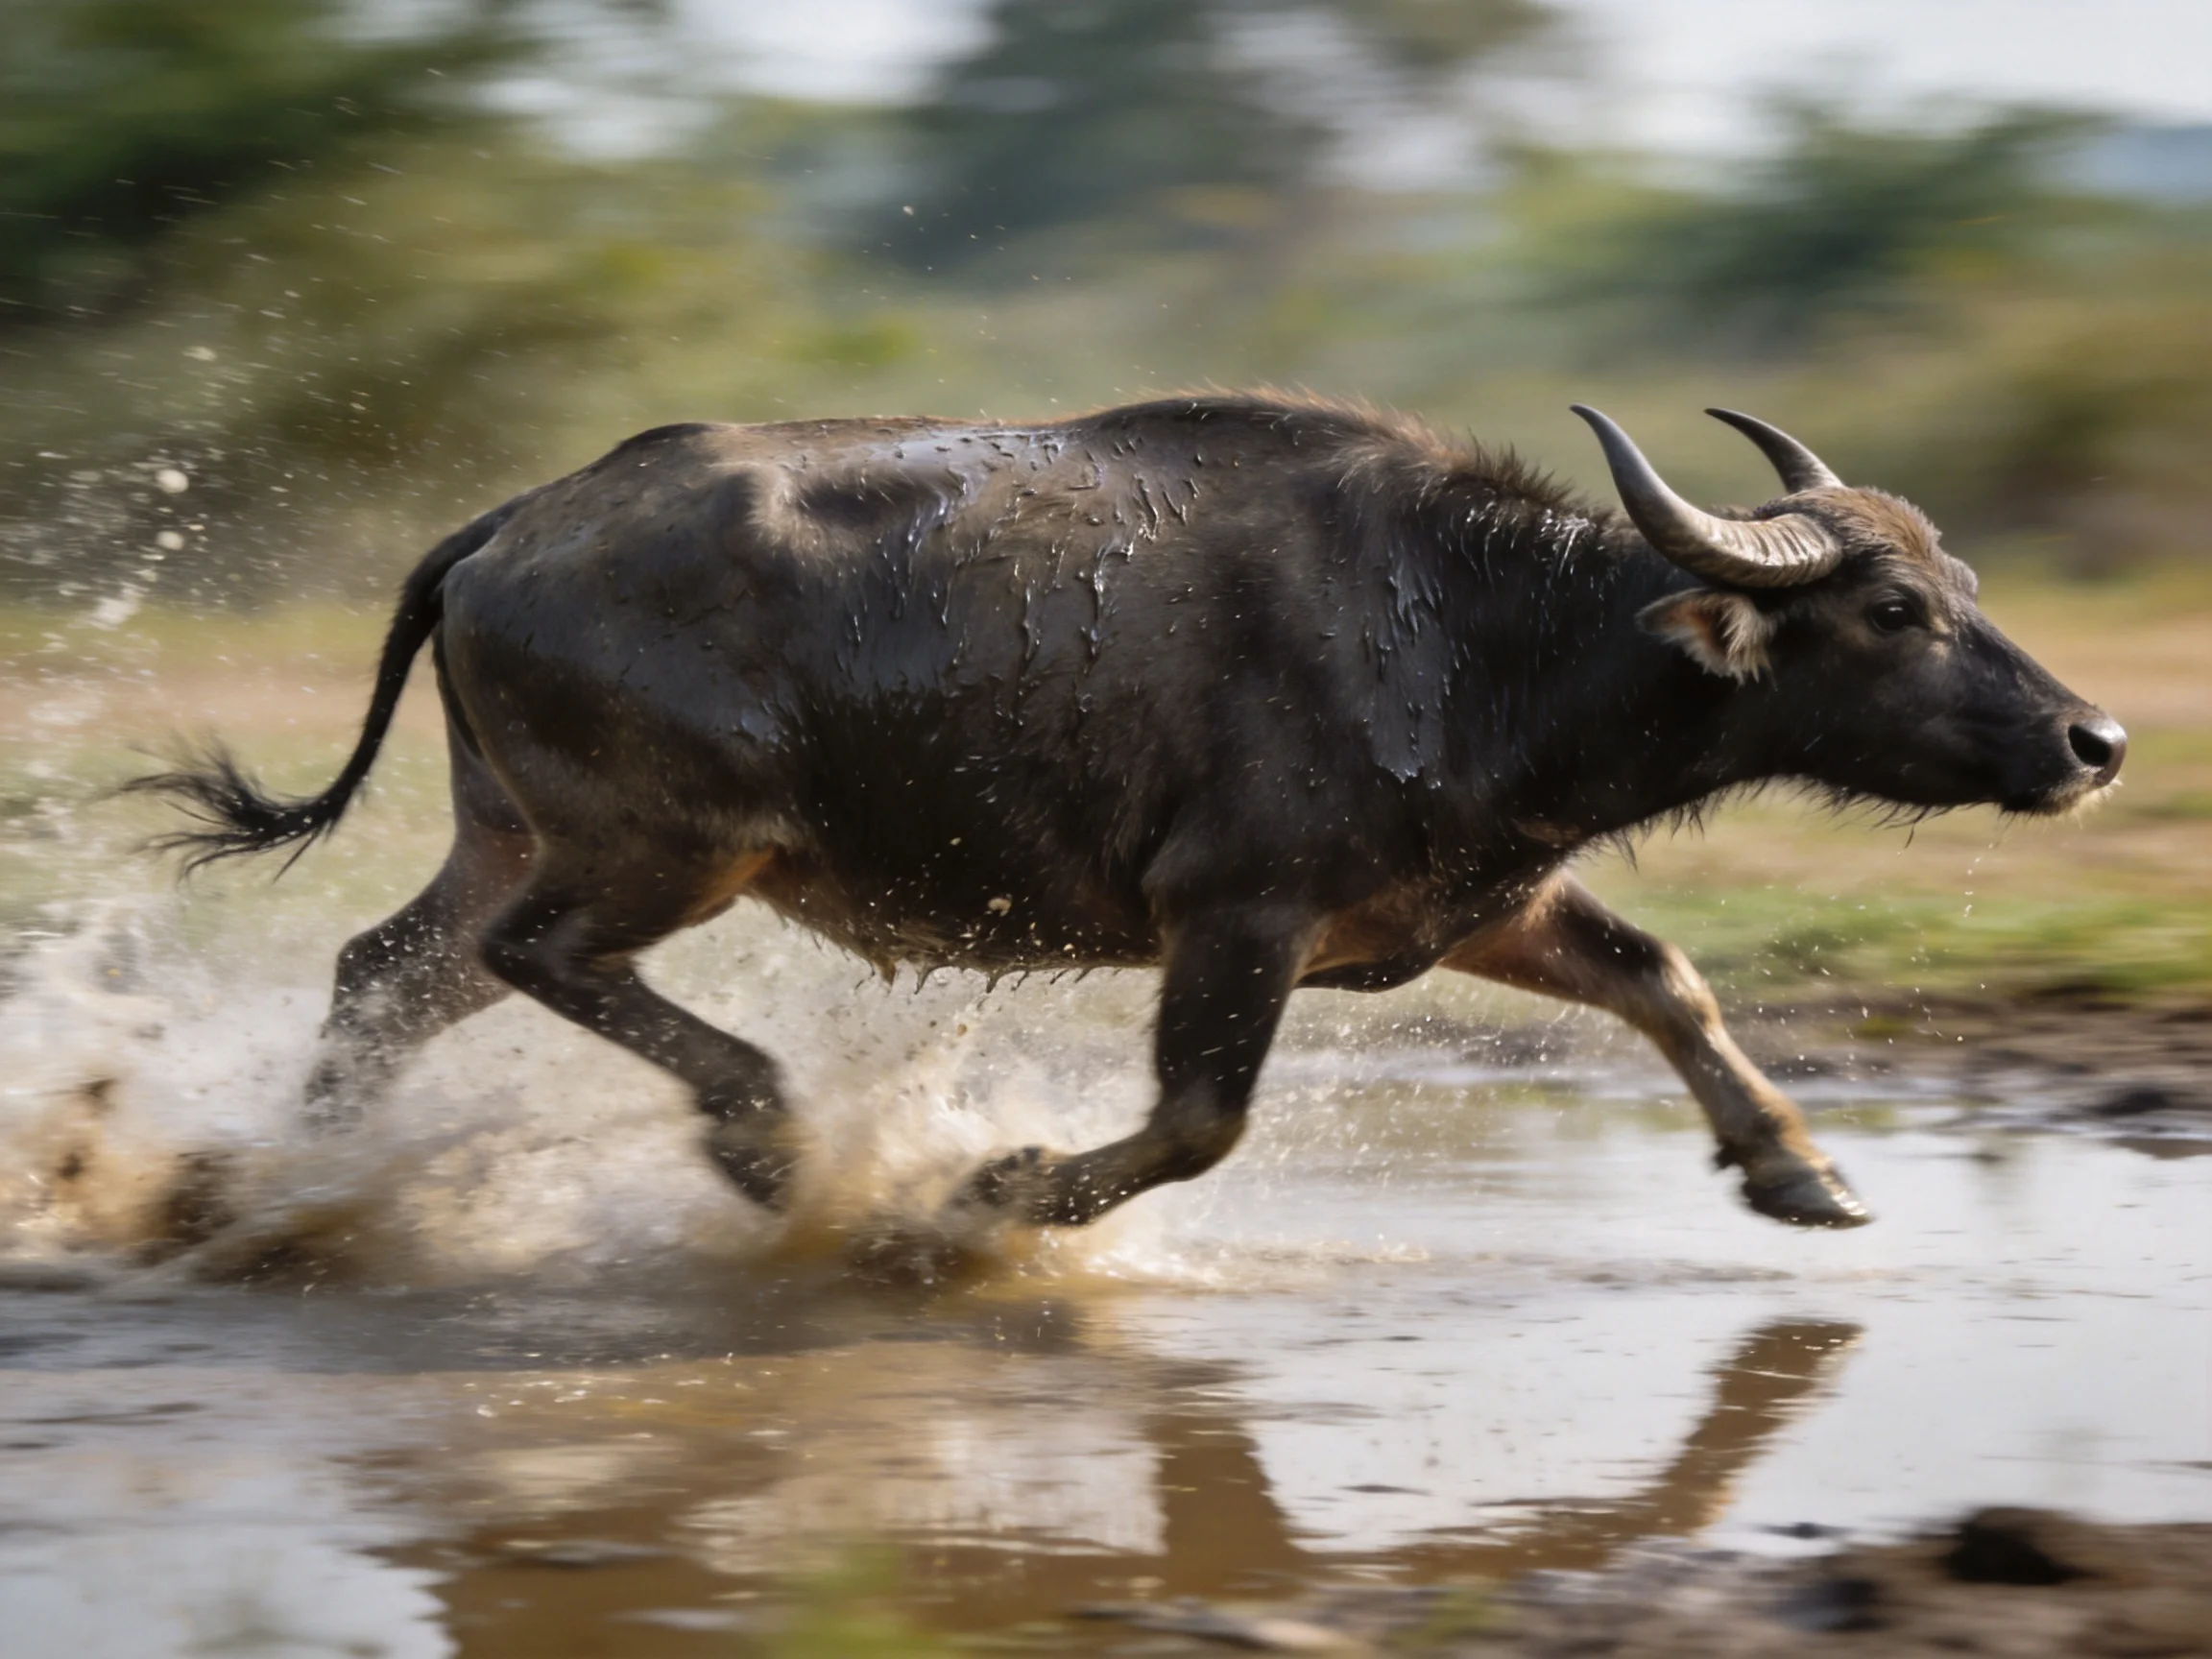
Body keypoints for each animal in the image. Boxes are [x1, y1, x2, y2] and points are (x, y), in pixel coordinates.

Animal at [136, 396, 2125, 1231]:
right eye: (1890, 609)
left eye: (1958, 579)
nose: (2092, 736)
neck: (1479, 633)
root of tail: (509, 526)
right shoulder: (1233, 918)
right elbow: (1196, 1117)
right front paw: (986, 1194)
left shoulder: (1464, 900)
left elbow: (1661, 974)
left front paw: (1794, 1166)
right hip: (661, 854)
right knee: (539, 959)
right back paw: (772, 1140)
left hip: (511, 829)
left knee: (392, 967)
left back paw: (282, 1179)